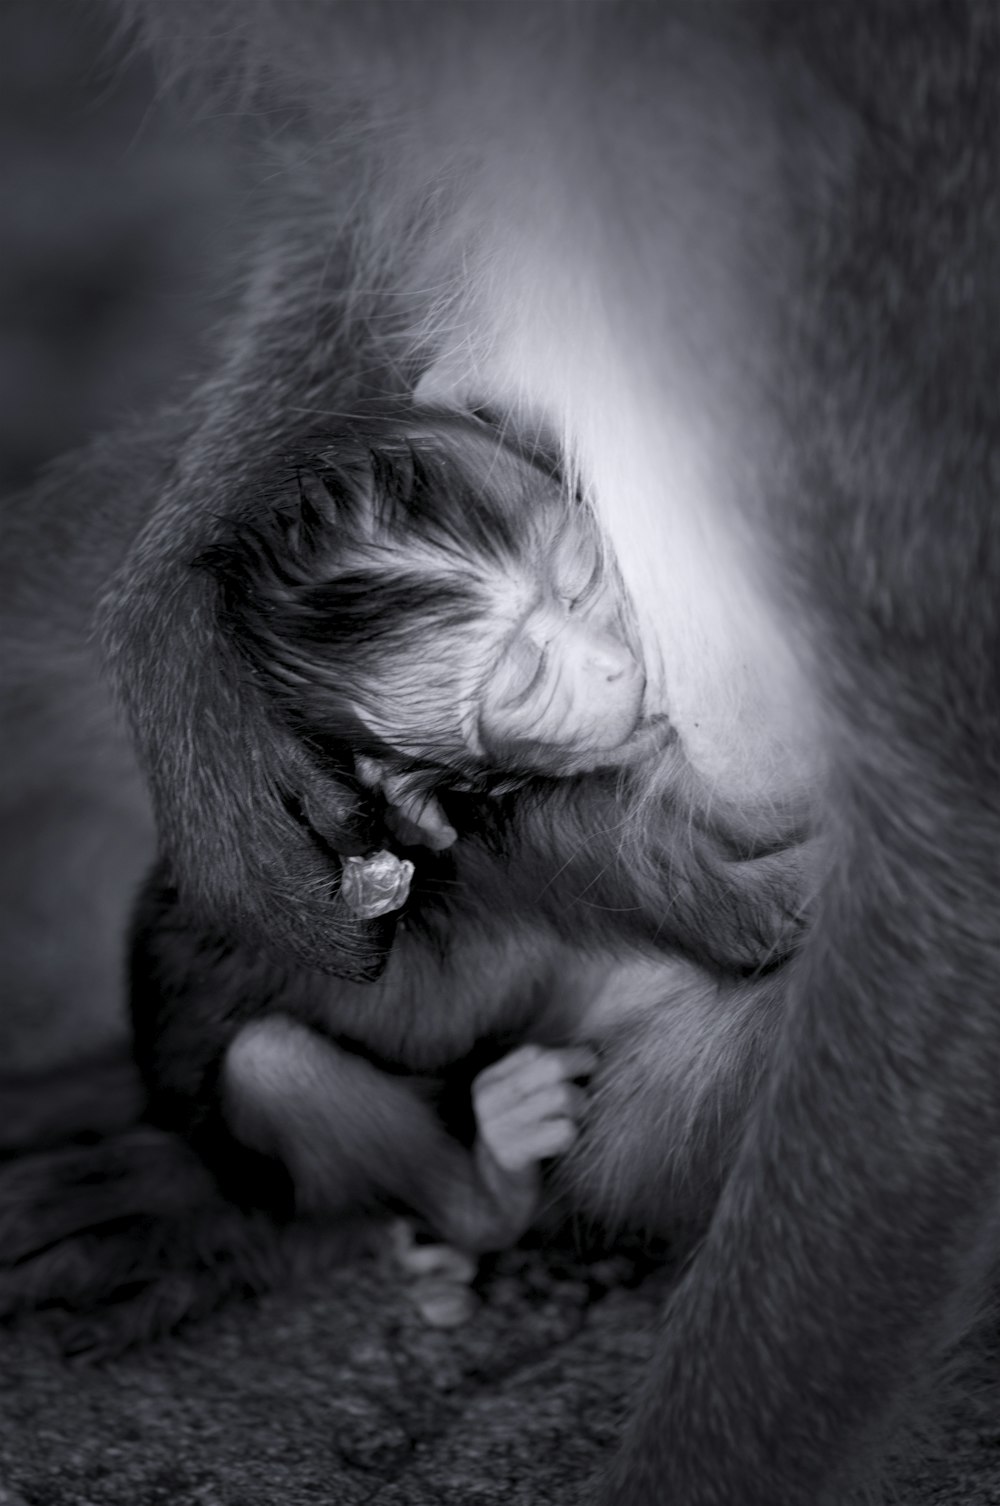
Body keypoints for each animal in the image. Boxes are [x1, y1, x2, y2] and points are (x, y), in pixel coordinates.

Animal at [7, 8, 1000, 1506]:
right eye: (517, 676)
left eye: (584, 573)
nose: (611, 667)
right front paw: (185, 669)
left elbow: (947, 822)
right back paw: (227, 1181)